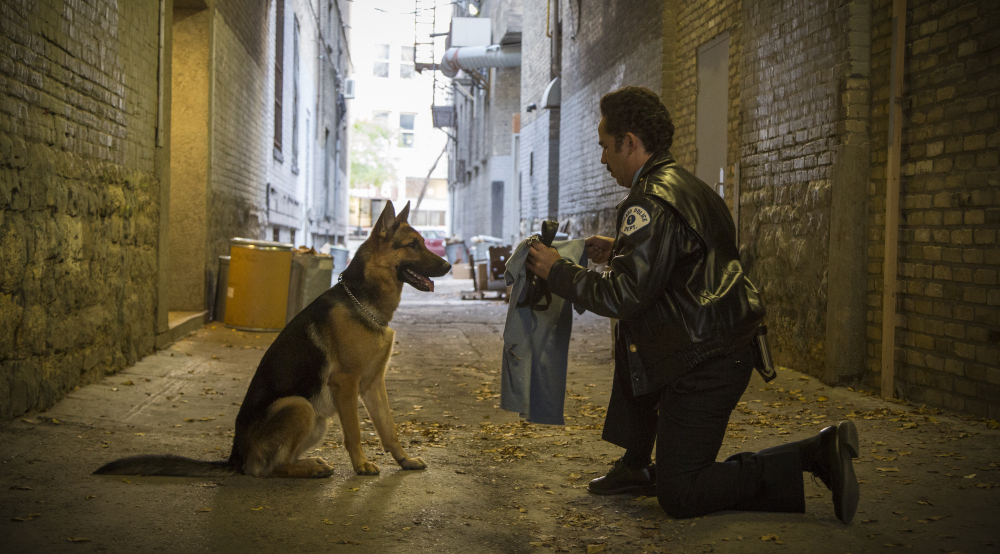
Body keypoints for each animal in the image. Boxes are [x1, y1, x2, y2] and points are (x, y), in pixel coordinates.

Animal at [94, 201, 454, 476]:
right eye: (413, 245)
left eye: (423, 242)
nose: (449, 265)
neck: (361, 301)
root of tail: (235, 457)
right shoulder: (346, 384)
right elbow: (354, 432)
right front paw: (361, 465)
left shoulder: (373, 384)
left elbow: (388, 428)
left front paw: (404, 460)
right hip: (300, 406)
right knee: (268, 469)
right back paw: (308, 469)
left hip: (317, 419)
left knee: (277, 461)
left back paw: (310, 462)